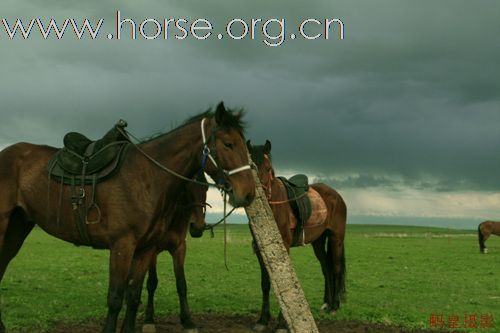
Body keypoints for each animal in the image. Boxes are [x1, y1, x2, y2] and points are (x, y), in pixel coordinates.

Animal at [0, 102, 256, 332]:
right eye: (228, 144)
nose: (248, 193)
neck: (147, 177)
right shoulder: (122, 245)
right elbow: (115, 298)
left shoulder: (145, 249)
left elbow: (133, 296)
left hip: (18, 227)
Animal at [247, 139, 348, 330]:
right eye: (250, 168)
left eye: (269, 168)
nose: (259, 195)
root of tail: (337, 195)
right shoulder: (260, 250)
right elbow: (266, 283)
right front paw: (263, 320)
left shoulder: (284, 246)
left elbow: (284, 279)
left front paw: (281, 324)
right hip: (318, 241)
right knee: (326, 267)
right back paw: (327, 303)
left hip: (336, 238)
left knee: (336, 268)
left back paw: (335, 306)